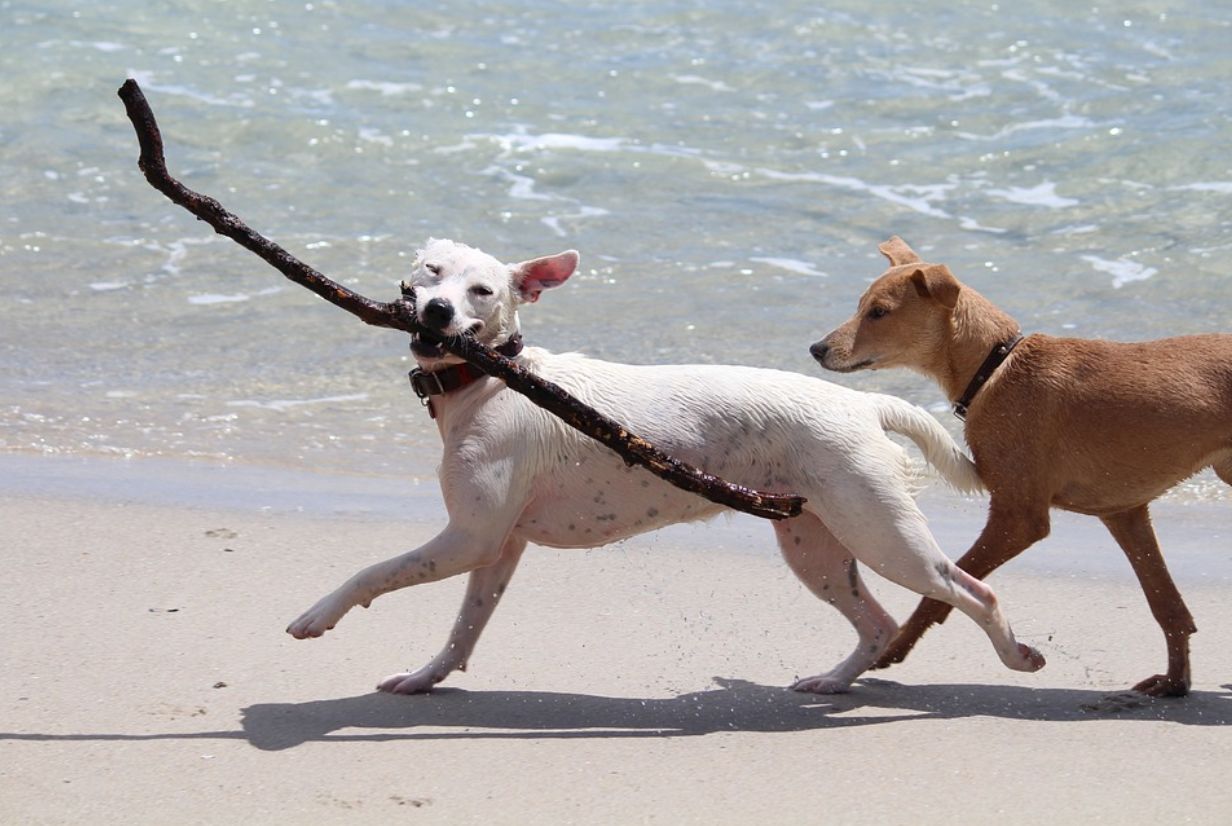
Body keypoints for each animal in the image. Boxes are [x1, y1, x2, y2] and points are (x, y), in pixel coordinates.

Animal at [285, 239, 1039, 690]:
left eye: (483, 292)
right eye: (432, 276)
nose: (437, 311)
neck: (491, 378)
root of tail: (862, 404)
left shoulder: (467, 538)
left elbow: (373, 572)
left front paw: (317, 615)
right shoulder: (497, 547)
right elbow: (464, 627)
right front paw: (425, 679)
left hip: (883, 535)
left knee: (974, 592)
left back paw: (1015, 655)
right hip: (818, 547)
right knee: (878, 625)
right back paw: (831, 684)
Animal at [808, 234, 1232, 700]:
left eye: (879, 312)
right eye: (860, 305)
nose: (816, 349)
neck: (995, 367)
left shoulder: (1018, 517)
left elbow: (946, 589)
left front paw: (893, 648)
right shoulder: (1124, 513)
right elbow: (1167, 605)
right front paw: (1175, 682)